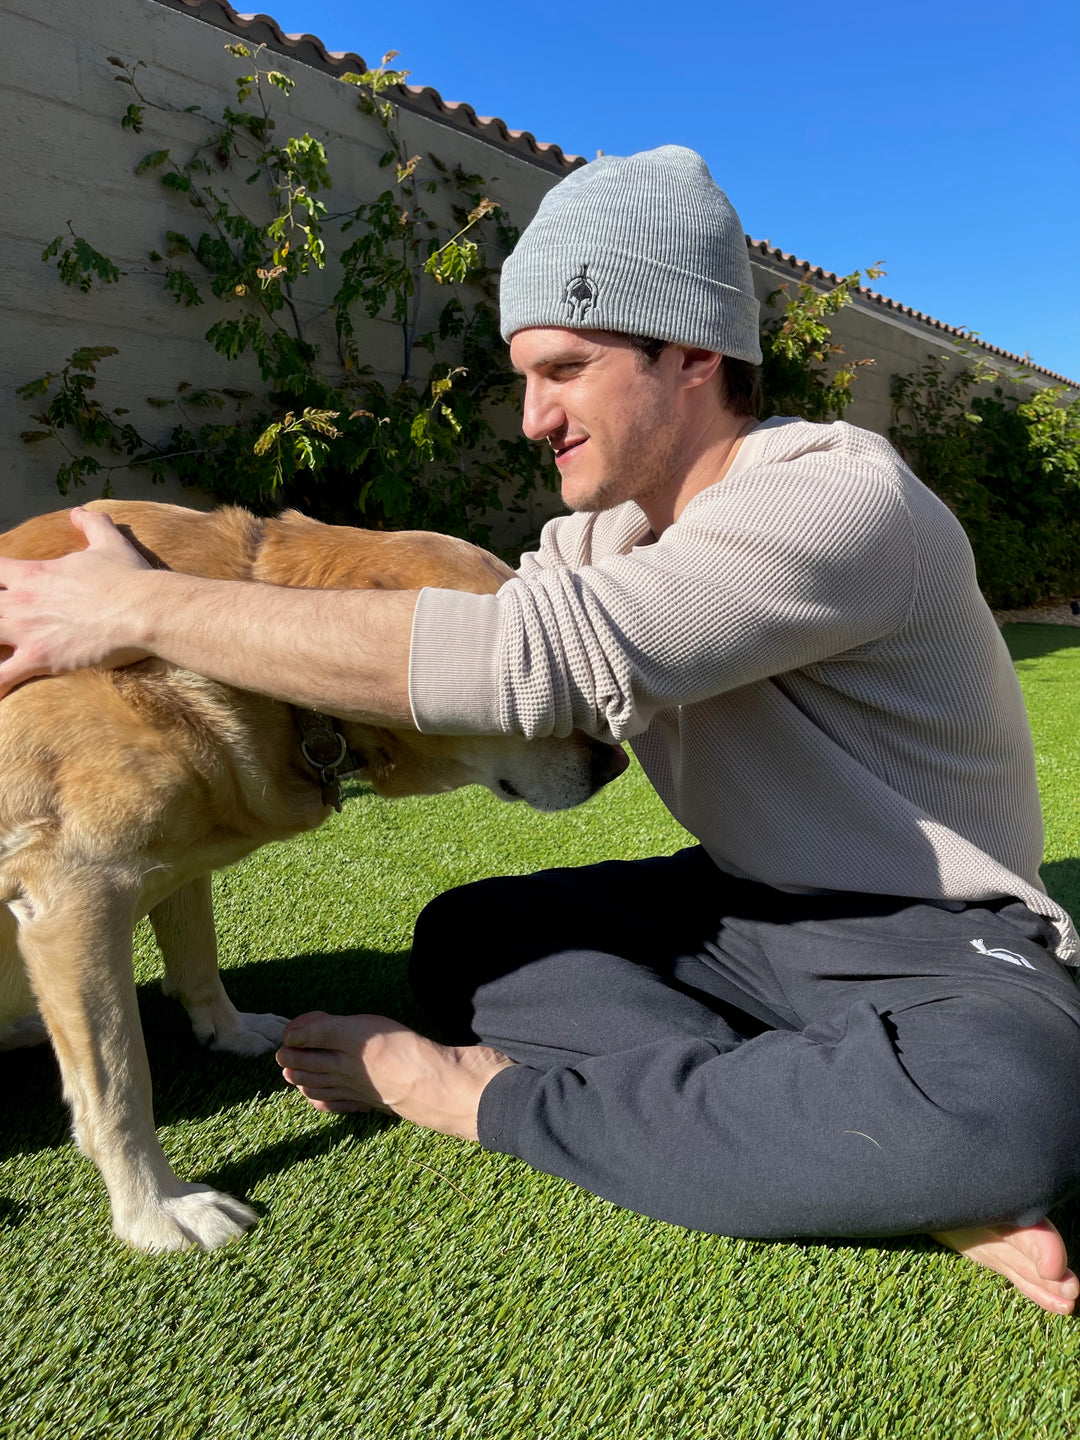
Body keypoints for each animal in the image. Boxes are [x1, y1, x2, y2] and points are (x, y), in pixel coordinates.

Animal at [0, 504, 624, 1249]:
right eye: (527, 694)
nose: (618, 764)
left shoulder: (172, 862)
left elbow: (198, 959)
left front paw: (231, 1032)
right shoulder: (79, 893)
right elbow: (118, 1082)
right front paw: (156, 1208)